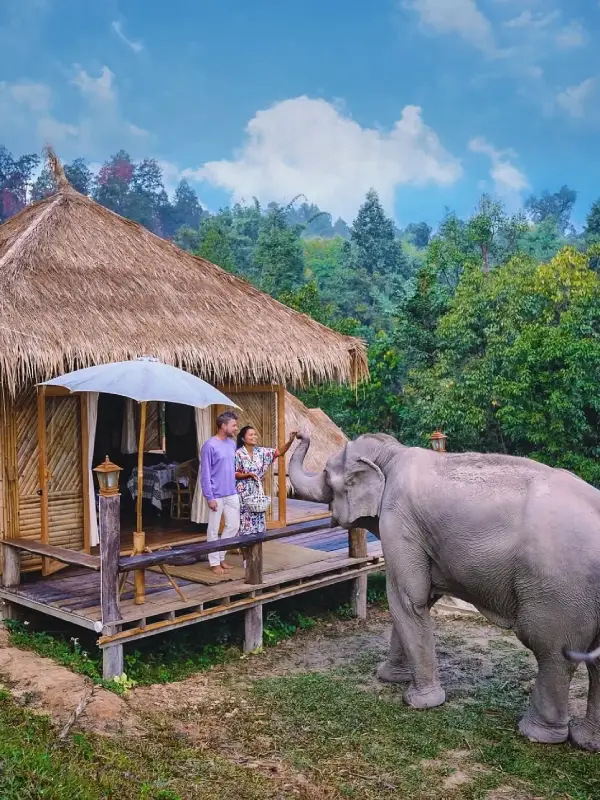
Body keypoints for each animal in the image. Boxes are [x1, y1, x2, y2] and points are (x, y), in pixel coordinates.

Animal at [289, 431, 600, 752]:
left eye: (326, 473)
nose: (299, 434)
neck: (392, 453)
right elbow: (418, 599)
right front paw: (390, 677)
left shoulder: (398, 520)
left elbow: (406, 598)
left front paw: (418, 702)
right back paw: (586, 741)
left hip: (559, 588)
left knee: (552, 651)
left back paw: (536, 734)